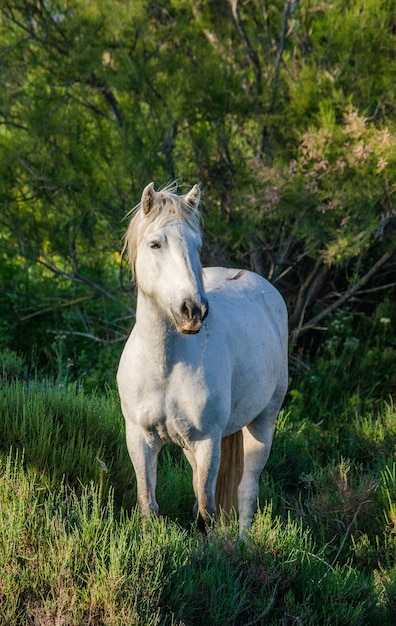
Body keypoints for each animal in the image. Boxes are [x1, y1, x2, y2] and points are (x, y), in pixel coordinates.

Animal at [116, 182, 286, 532]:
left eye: (197, 246)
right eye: (155, 244)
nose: (192, 310)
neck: (165, 365)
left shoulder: (208, 441)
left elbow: (208, 509)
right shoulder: (140, 438)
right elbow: (148, 503)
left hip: (262, 423)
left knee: (247, 489)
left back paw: (244, 539)